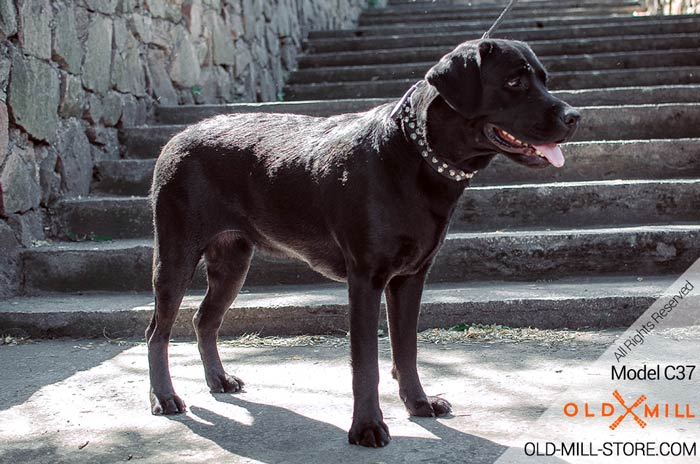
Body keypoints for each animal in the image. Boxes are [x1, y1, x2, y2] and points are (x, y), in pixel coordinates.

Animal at [148, 39, 580, 446]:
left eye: (544, 79)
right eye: (514, 81)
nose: (574, 117)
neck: (413, 154)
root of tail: (177, 138)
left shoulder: (410, 278)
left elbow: (406, 349)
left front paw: (419, 403)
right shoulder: (366, 279)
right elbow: (366, 363)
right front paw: (367, 427)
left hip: (233, 263)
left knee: (204, 320)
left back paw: (218, 380)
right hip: (175, 256)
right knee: (158, 332)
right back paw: (164, 398)